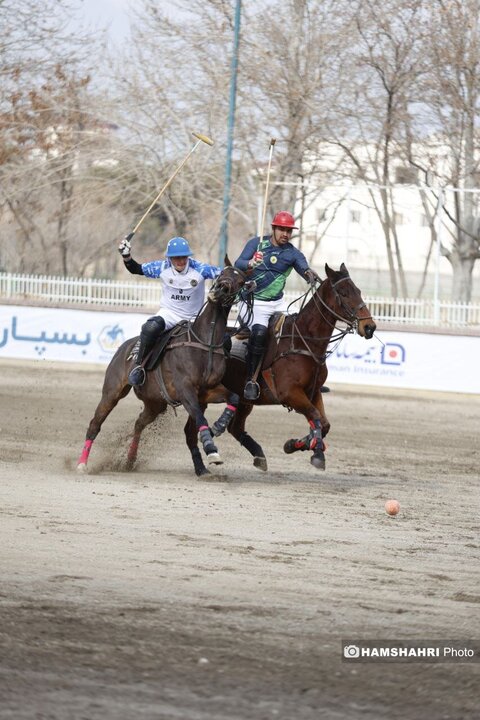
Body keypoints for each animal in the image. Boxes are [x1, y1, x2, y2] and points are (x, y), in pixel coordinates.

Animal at [76, 262, 248, 476]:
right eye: (222, 274)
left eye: (240, 281)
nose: (219, 291)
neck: (204, 343)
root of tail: (123, 347)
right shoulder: (185, 390)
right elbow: (200, 417)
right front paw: (211, 449)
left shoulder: (207, 391)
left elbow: (233, 398)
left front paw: (219, 425)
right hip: (112, 392)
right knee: (95, 424)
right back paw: (82, 464)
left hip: (155, 403)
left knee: (139, 422)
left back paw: (130, 460)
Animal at [204, 262, 376, 472]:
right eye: (343, 293)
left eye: (358, 291)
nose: (369, 327)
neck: (305, 342)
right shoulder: (290, 393)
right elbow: (315, 416)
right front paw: (315, 452)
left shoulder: (313, 391)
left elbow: (324, 424)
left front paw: (299, 444)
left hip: (245, 400)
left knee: (236, 427)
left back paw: (257, 454)